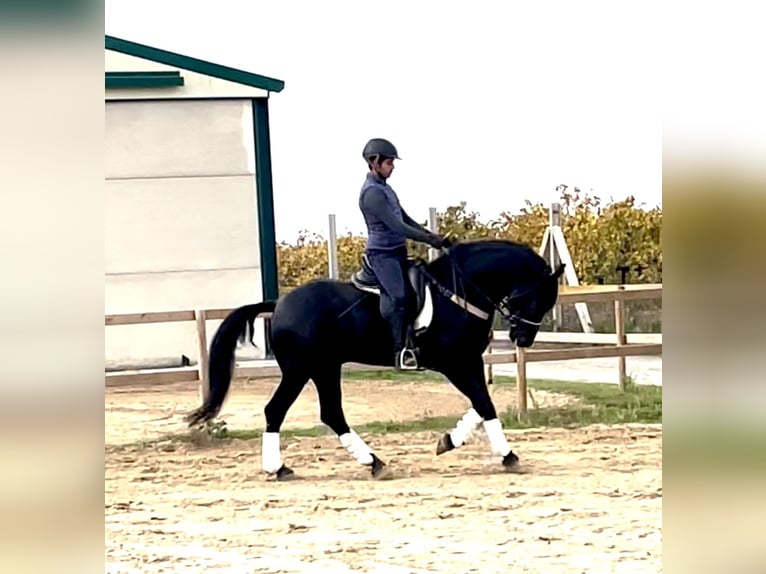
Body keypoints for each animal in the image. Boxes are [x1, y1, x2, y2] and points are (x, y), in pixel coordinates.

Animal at [189, 238, 568, 482]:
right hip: (302, 369)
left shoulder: (469, 361)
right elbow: (485, 403)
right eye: (539, 297)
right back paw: (280, 468)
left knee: (331, 414)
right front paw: (508, 456)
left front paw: (449, 440)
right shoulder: (454, 364)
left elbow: (482, 403)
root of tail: (279, 304)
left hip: (325, 368)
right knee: (277, 411)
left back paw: (372, 463)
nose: (523, 339)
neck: (458, 291)